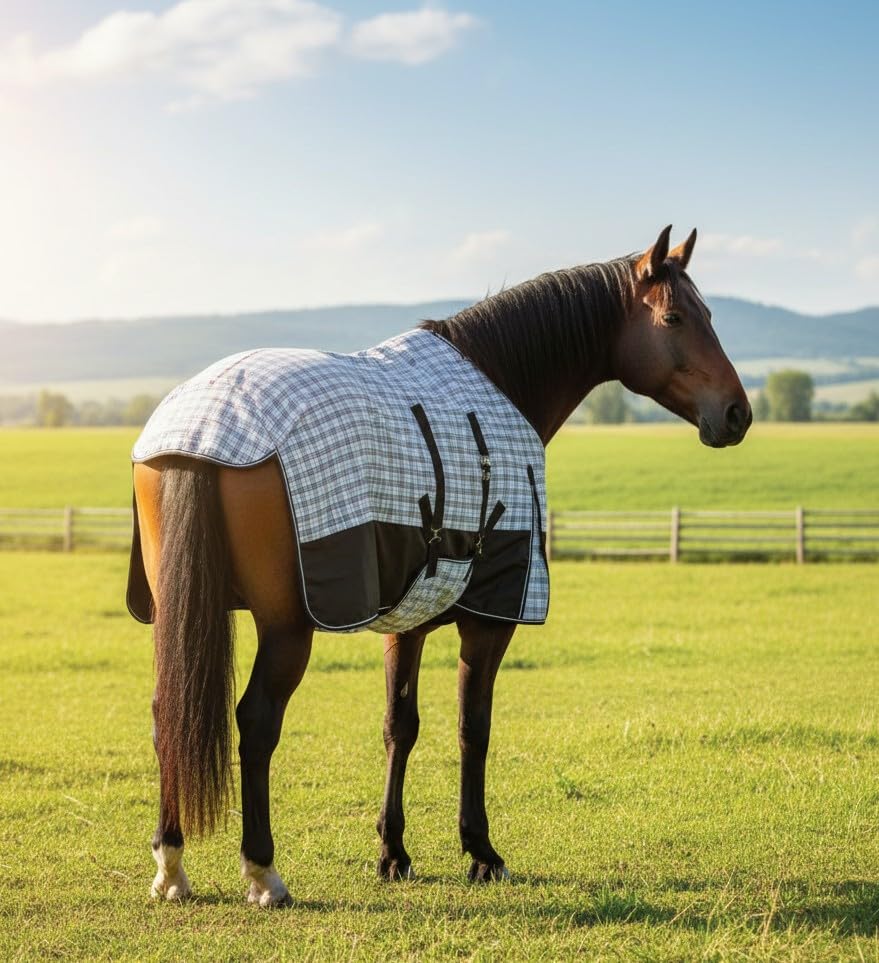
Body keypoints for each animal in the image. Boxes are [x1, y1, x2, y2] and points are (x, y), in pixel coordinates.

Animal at [130, 225, 751, 906]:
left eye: (709, 315)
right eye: (673, 318)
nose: (737, 413)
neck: (501, 379)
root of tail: (199, 433)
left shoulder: (409, 618)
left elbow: (399, 725)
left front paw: (392, 851)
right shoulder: (491, 619)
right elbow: (472, 728)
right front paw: (481, 851)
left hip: (182, 613)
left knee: (166, 714)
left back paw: (170, 866)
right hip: (285, 627)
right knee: (257, 722)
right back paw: (262, 871)